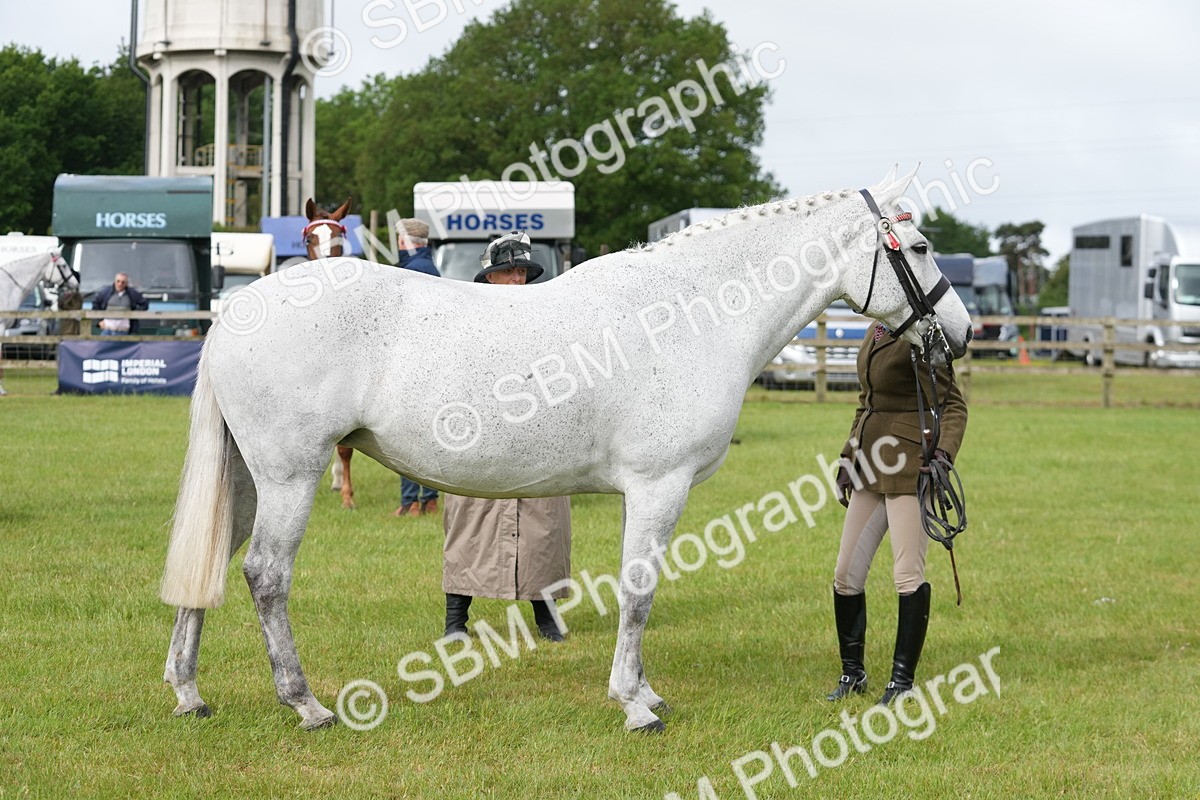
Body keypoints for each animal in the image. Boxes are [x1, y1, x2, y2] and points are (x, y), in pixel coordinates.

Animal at [160, 167, 972, 732]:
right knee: (265, 576)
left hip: (249, 479)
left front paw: (643, 691)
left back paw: (190, 692)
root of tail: (239, 310)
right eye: (920, 246)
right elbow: (639, 591)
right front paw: (636, 704)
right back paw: (306, 704)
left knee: (214, 562)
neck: (689, 313)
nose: (959, 334)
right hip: (290, 477)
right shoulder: (658, 485)